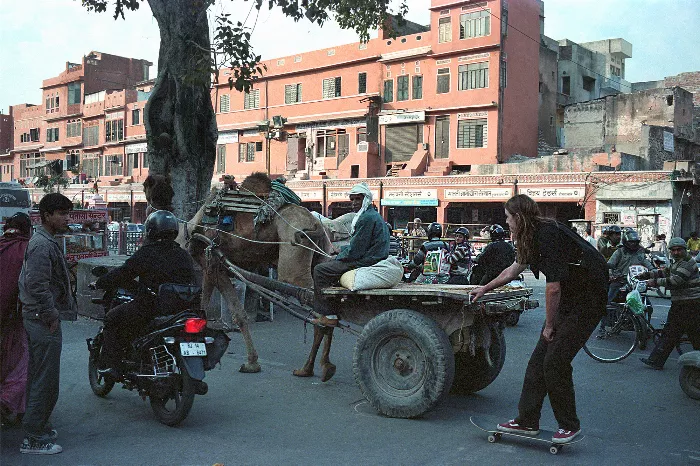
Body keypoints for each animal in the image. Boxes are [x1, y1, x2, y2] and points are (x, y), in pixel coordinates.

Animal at [142, 173, 340, 380]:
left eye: (146, 186)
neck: (187, 230)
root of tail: (316, 223)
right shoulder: (218, 267)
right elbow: (238, 313)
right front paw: (252, 363)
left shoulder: (211, 264)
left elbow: (210, 307)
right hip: (319, 256)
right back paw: (319, 367)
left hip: (293, 255)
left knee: (309, 298)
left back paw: (310, 368)